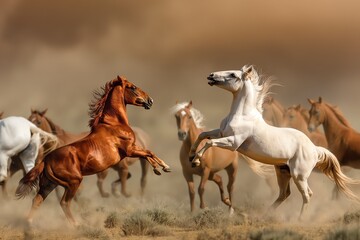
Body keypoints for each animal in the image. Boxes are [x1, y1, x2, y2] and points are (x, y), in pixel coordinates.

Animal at [15, 75, 170, 225]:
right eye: (133, 87)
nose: (150, 101)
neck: (114, 124)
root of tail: (46, 160)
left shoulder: (131, 151)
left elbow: (148, 154)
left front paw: (161, 168)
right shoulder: (130, 150)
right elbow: (149, 152)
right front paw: (163, 167)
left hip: (49, 185)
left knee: (37, 200)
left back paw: (29, 225)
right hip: (73, 182)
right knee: (64, 202)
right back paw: (77, 225)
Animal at [190, 64, 358, 218]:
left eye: (233, 74)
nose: (211, 76)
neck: (242, 115)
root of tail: (314, 149)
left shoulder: (233, 143)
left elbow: (209, 142)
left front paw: (196, 160)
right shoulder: (221, 133)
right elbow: (203, 135)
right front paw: (192, 156)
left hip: (299, 175)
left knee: (307, 194)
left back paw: (299, 219)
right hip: (283, 172)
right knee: (284, 194)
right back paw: (266, 214)